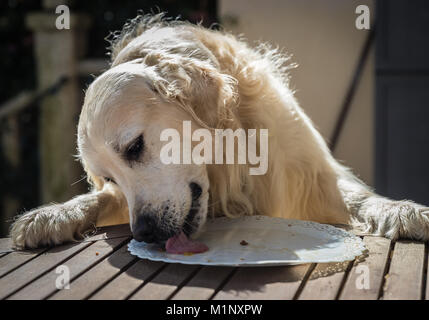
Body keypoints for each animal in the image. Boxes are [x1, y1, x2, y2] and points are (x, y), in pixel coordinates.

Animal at [9, 13, 428, 249]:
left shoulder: (308, 175)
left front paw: (401, 209)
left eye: (134, 146)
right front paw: (52, 215)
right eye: (109, 178)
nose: (143, 232)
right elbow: (98, 201)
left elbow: (358, 197)